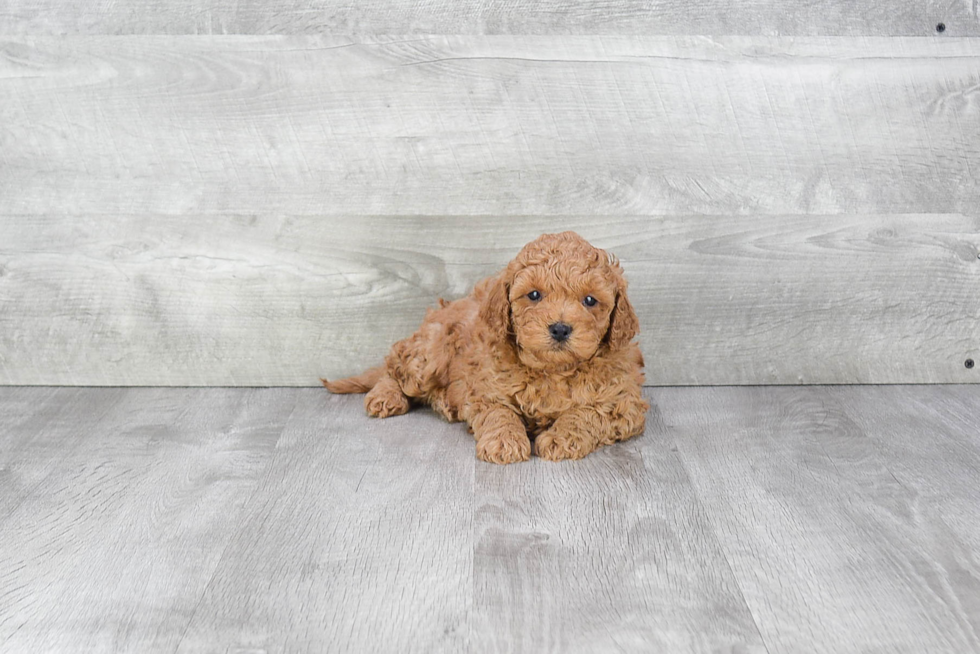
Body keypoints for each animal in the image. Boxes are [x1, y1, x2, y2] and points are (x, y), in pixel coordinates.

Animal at [326, 233, 652, 464]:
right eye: (534, 295)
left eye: (590, 300)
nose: (560, 328)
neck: (552, 371)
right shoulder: (485, 389)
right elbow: (500, 413)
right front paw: (505, 442)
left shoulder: (624, 403)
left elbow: (587, 413)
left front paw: (562, 437)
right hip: (429, 354)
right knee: (394, 368)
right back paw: (386, 396)